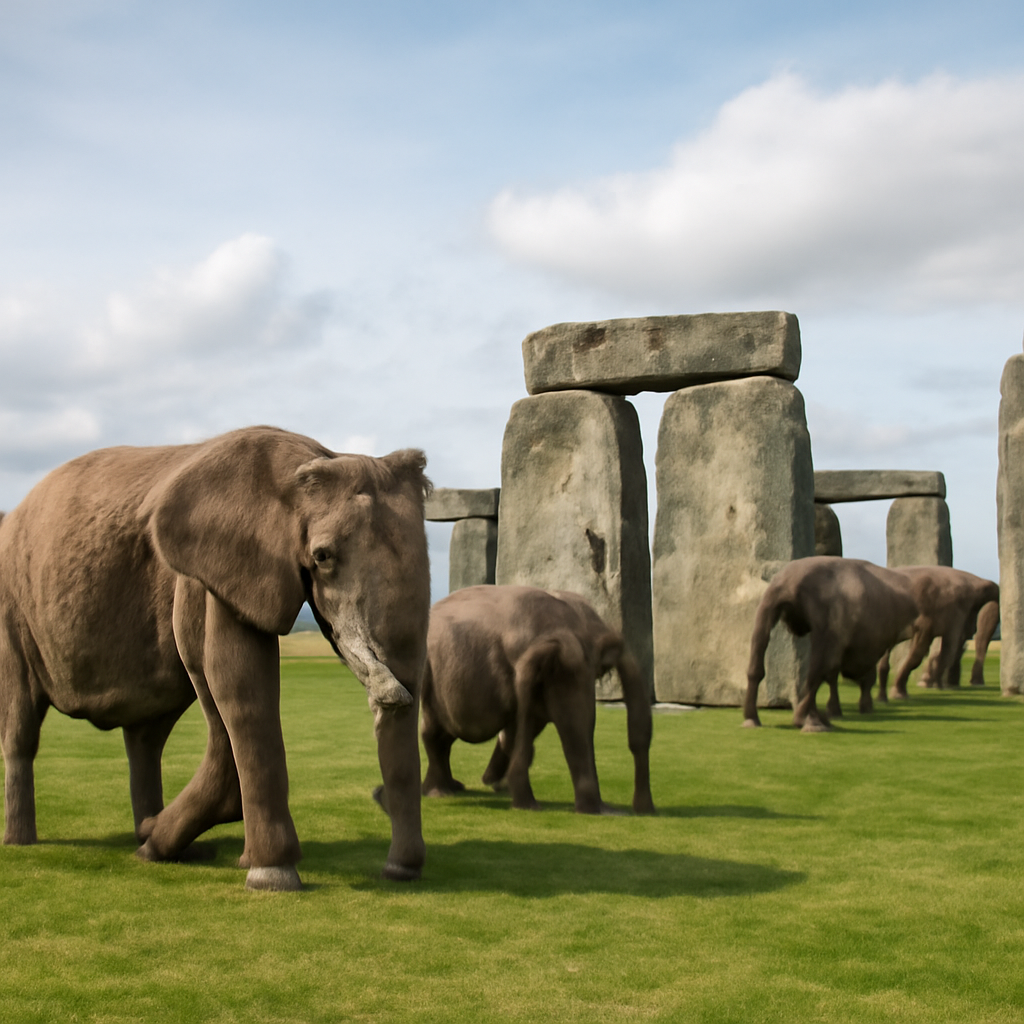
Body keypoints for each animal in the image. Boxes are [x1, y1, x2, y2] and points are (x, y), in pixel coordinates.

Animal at [0, 426, 431, 890]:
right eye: (322, 557)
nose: (398, 872)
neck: (312, 458)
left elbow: (226, 689)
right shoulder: (219, 568)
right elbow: (240, 683)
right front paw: (271, 875)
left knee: (147, 738)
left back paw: (150, 836)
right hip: (11, 609)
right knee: (20, 726)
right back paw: (26, 842)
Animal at [420, 585, 655, 815]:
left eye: (601, 672)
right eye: (550, 668)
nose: (488, 780)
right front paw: (524, 803)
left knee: (445, 734)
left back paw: (456, 787)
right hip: (429, 673)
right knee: (433, 731)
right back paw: (440, 793)